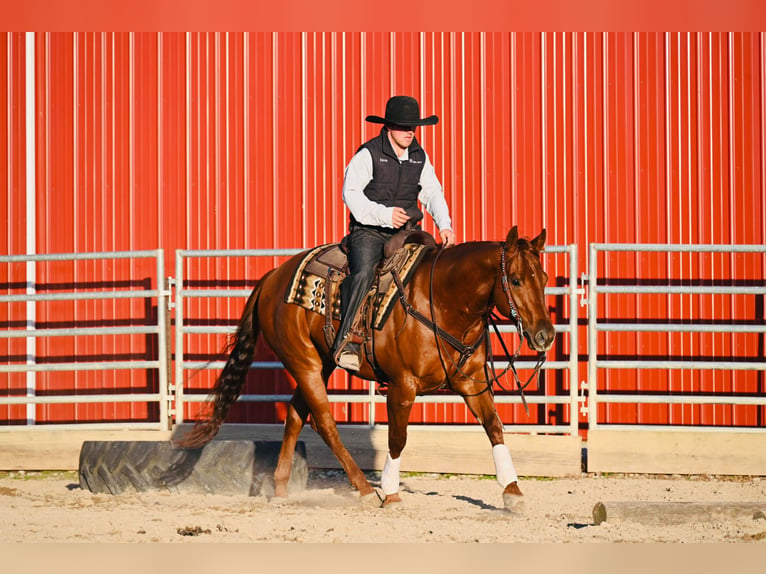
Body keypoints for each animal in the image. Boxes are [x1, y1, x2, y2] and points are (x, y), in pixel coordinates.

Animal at [177, 227, 556, 510]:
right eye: (516, 280)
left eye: (543, 276)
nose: (545, 334)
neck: (443, 300)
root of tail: (272, 277)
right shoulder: (403, 386)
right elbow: (397, 438)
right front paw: (391, 492)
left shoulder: (472, 382)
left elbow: (494, 427)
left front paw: (512, 491)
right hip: (304, 362)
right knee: (324, 421)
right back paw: (362, 488)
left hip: (319, 363)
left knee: (296, 415)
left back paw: (282, 489)